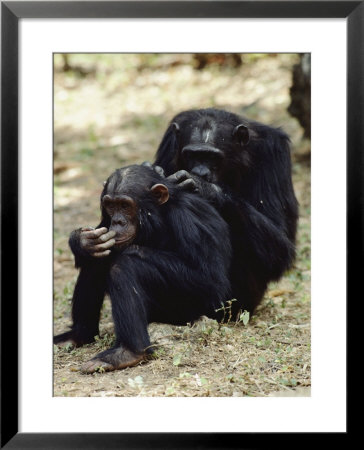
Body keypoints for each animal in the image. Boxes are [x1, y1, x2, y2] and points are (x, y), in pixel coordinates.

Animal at [54, 164, 230, 372]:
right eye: (111, 205)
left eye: (124, 205)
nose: (117, 221)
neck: (158, 215)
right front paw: (83, 241)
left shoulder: (188, 218)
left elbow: (210, 277)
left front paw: (128, 250)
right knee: (96, 261)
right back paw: (79, 335)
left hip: (192, 310)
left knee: (124, 267)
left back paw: (128, 353)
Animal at [154, 108, 298, 316]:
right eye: (191, 155)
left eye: (213, 157)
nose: (201, 171)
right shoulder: (169, 142)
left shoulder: (274, 154)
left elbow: (282, 243)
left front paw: (203, 187)